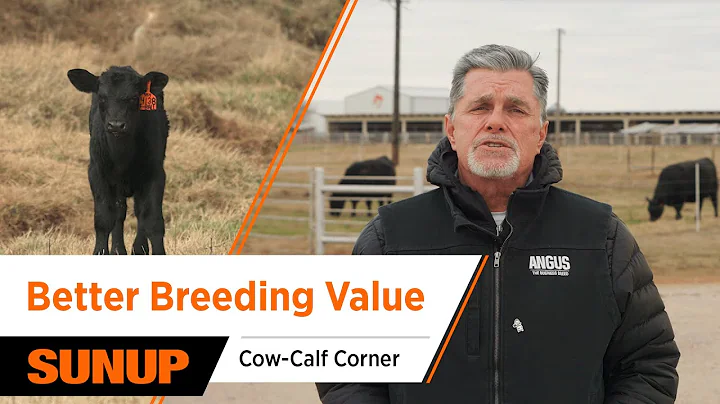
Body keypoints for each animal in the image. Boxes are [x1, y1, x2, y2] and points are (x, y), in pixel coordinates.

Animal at [67, 66, 170, 255]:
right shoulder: (96, 173)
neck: (122, 157)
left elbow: (152, 220)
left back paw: (139, 249)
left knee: (138, 212)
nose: (116, 125)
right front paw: (100, 252)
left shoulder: (155, 174)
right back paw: (118, 250)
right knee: (119, 212)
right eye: (102, 97)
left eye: (134, 98)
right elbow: (104, 219)